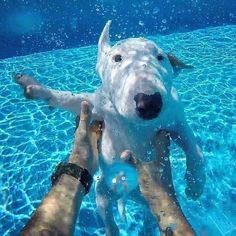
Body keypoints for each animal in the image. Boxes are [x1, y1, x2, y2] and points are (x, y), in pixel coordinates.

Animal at [15, 20, 205, 236]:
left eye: (160, 57)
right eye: (117, 58)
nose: (149, 103)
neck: (134, 124)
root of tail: (129, 194)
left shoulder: (176, 120)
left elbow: (194, 150)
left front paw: (195, 186)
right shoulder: (96, 107)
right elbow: (67, 98)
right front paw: (35, 87)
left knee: (149, 213)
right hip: (102, 191)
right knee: (107, 215)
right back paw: (113, 229)